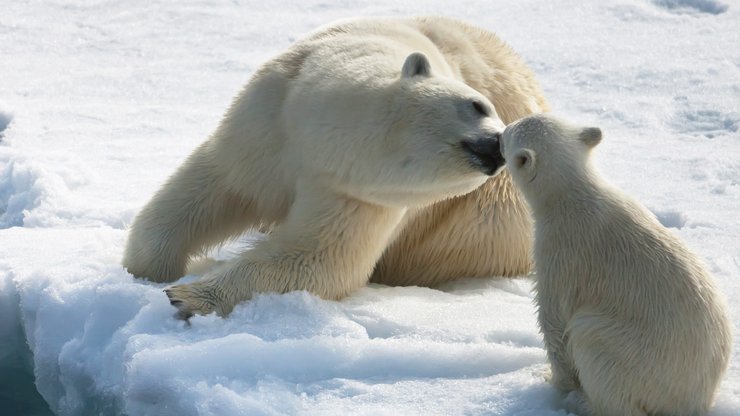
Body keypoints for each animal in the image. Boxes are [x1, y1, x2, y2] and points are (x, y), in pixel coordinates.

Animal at [123, 14, 548, 316]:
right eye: (477, 105)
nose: (498, 147)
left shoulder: (357, 195)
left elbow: (318, 258)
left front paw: (187, 295)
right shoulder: (268, 123)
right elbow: (215, 187)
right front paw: (147, 272)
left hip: (489, 224)